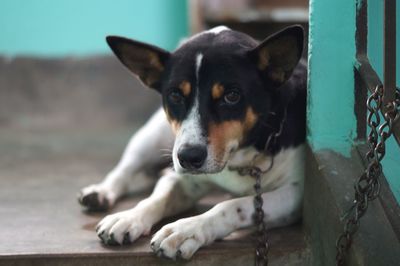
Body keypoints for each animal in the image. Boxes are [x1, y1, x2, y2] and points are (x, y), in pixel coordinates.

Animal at [78, 25, 306, 260]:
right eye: (175, 95)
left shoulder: (296, 196)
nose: (188, 157)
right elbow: (158, 197)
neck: (239, 159)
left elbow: (234, 205)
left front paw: (186, 229)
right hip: (151, 136)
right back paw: (100, 192)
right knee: (126, 167)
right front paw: (129, 216)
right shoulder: (182, 178)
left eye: (232, 96)